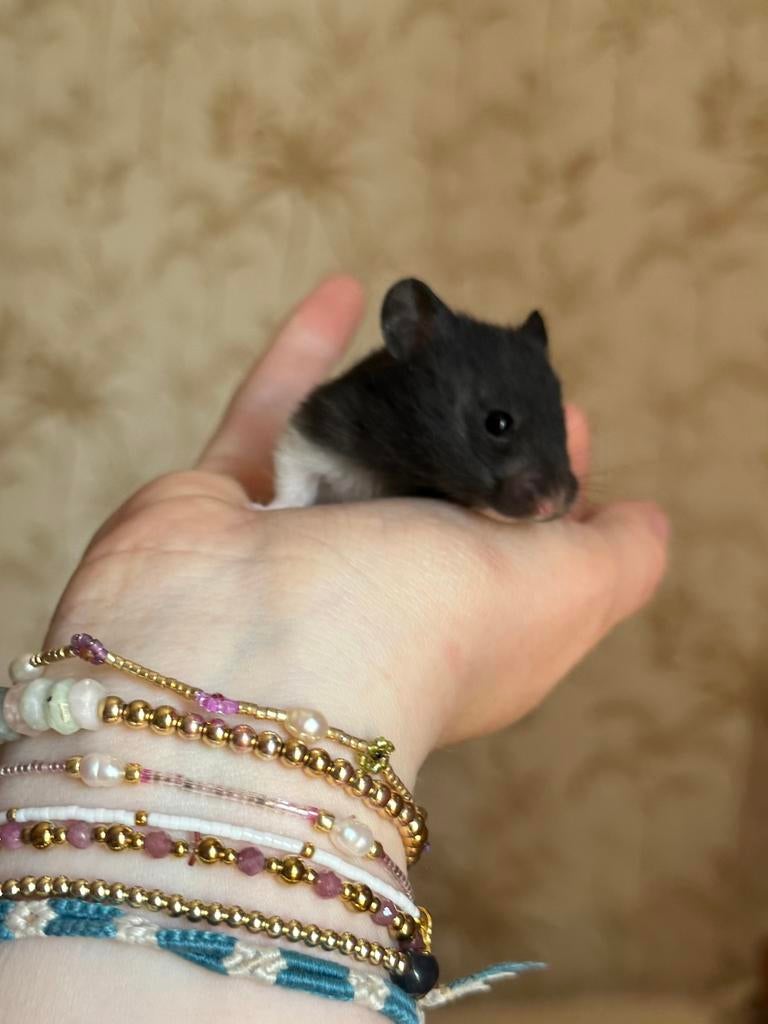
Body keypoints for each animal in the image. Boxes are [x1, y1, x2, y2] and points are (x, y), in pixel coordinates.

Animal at [269, 278, 578, 520]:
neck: (401, 463)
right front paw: (270, 509)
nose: (555, 504)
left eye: (561, 419)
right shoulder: (314, 430)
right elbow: (294, 478)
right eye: (497, 423)